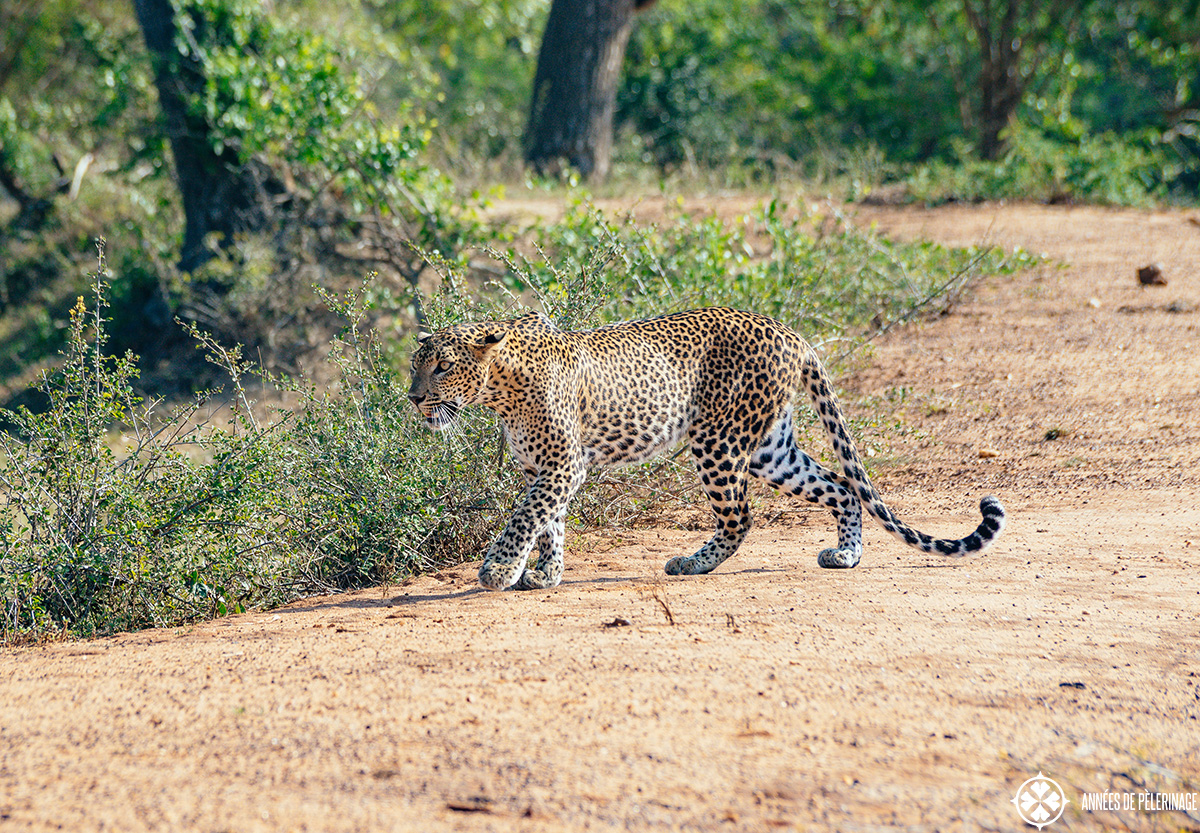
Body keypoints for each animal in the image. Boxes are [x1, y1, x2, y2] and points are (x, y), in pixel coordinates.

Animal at [408, 307, 1008, 592]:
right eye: (416, 364)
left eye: (443, 366)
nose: (413, 397)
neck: (499, 387)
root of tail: (790, 331)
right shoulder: (542, 467)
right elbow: (547, 521)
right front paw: (544, 575)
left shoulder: (563, 463)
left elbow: (525, 516)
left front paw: (497, 571)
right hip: (770, 448)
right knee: (840, 486)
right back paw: (846, 555)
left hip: (720, 441)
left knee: (741, 516)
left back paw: (692, 563)